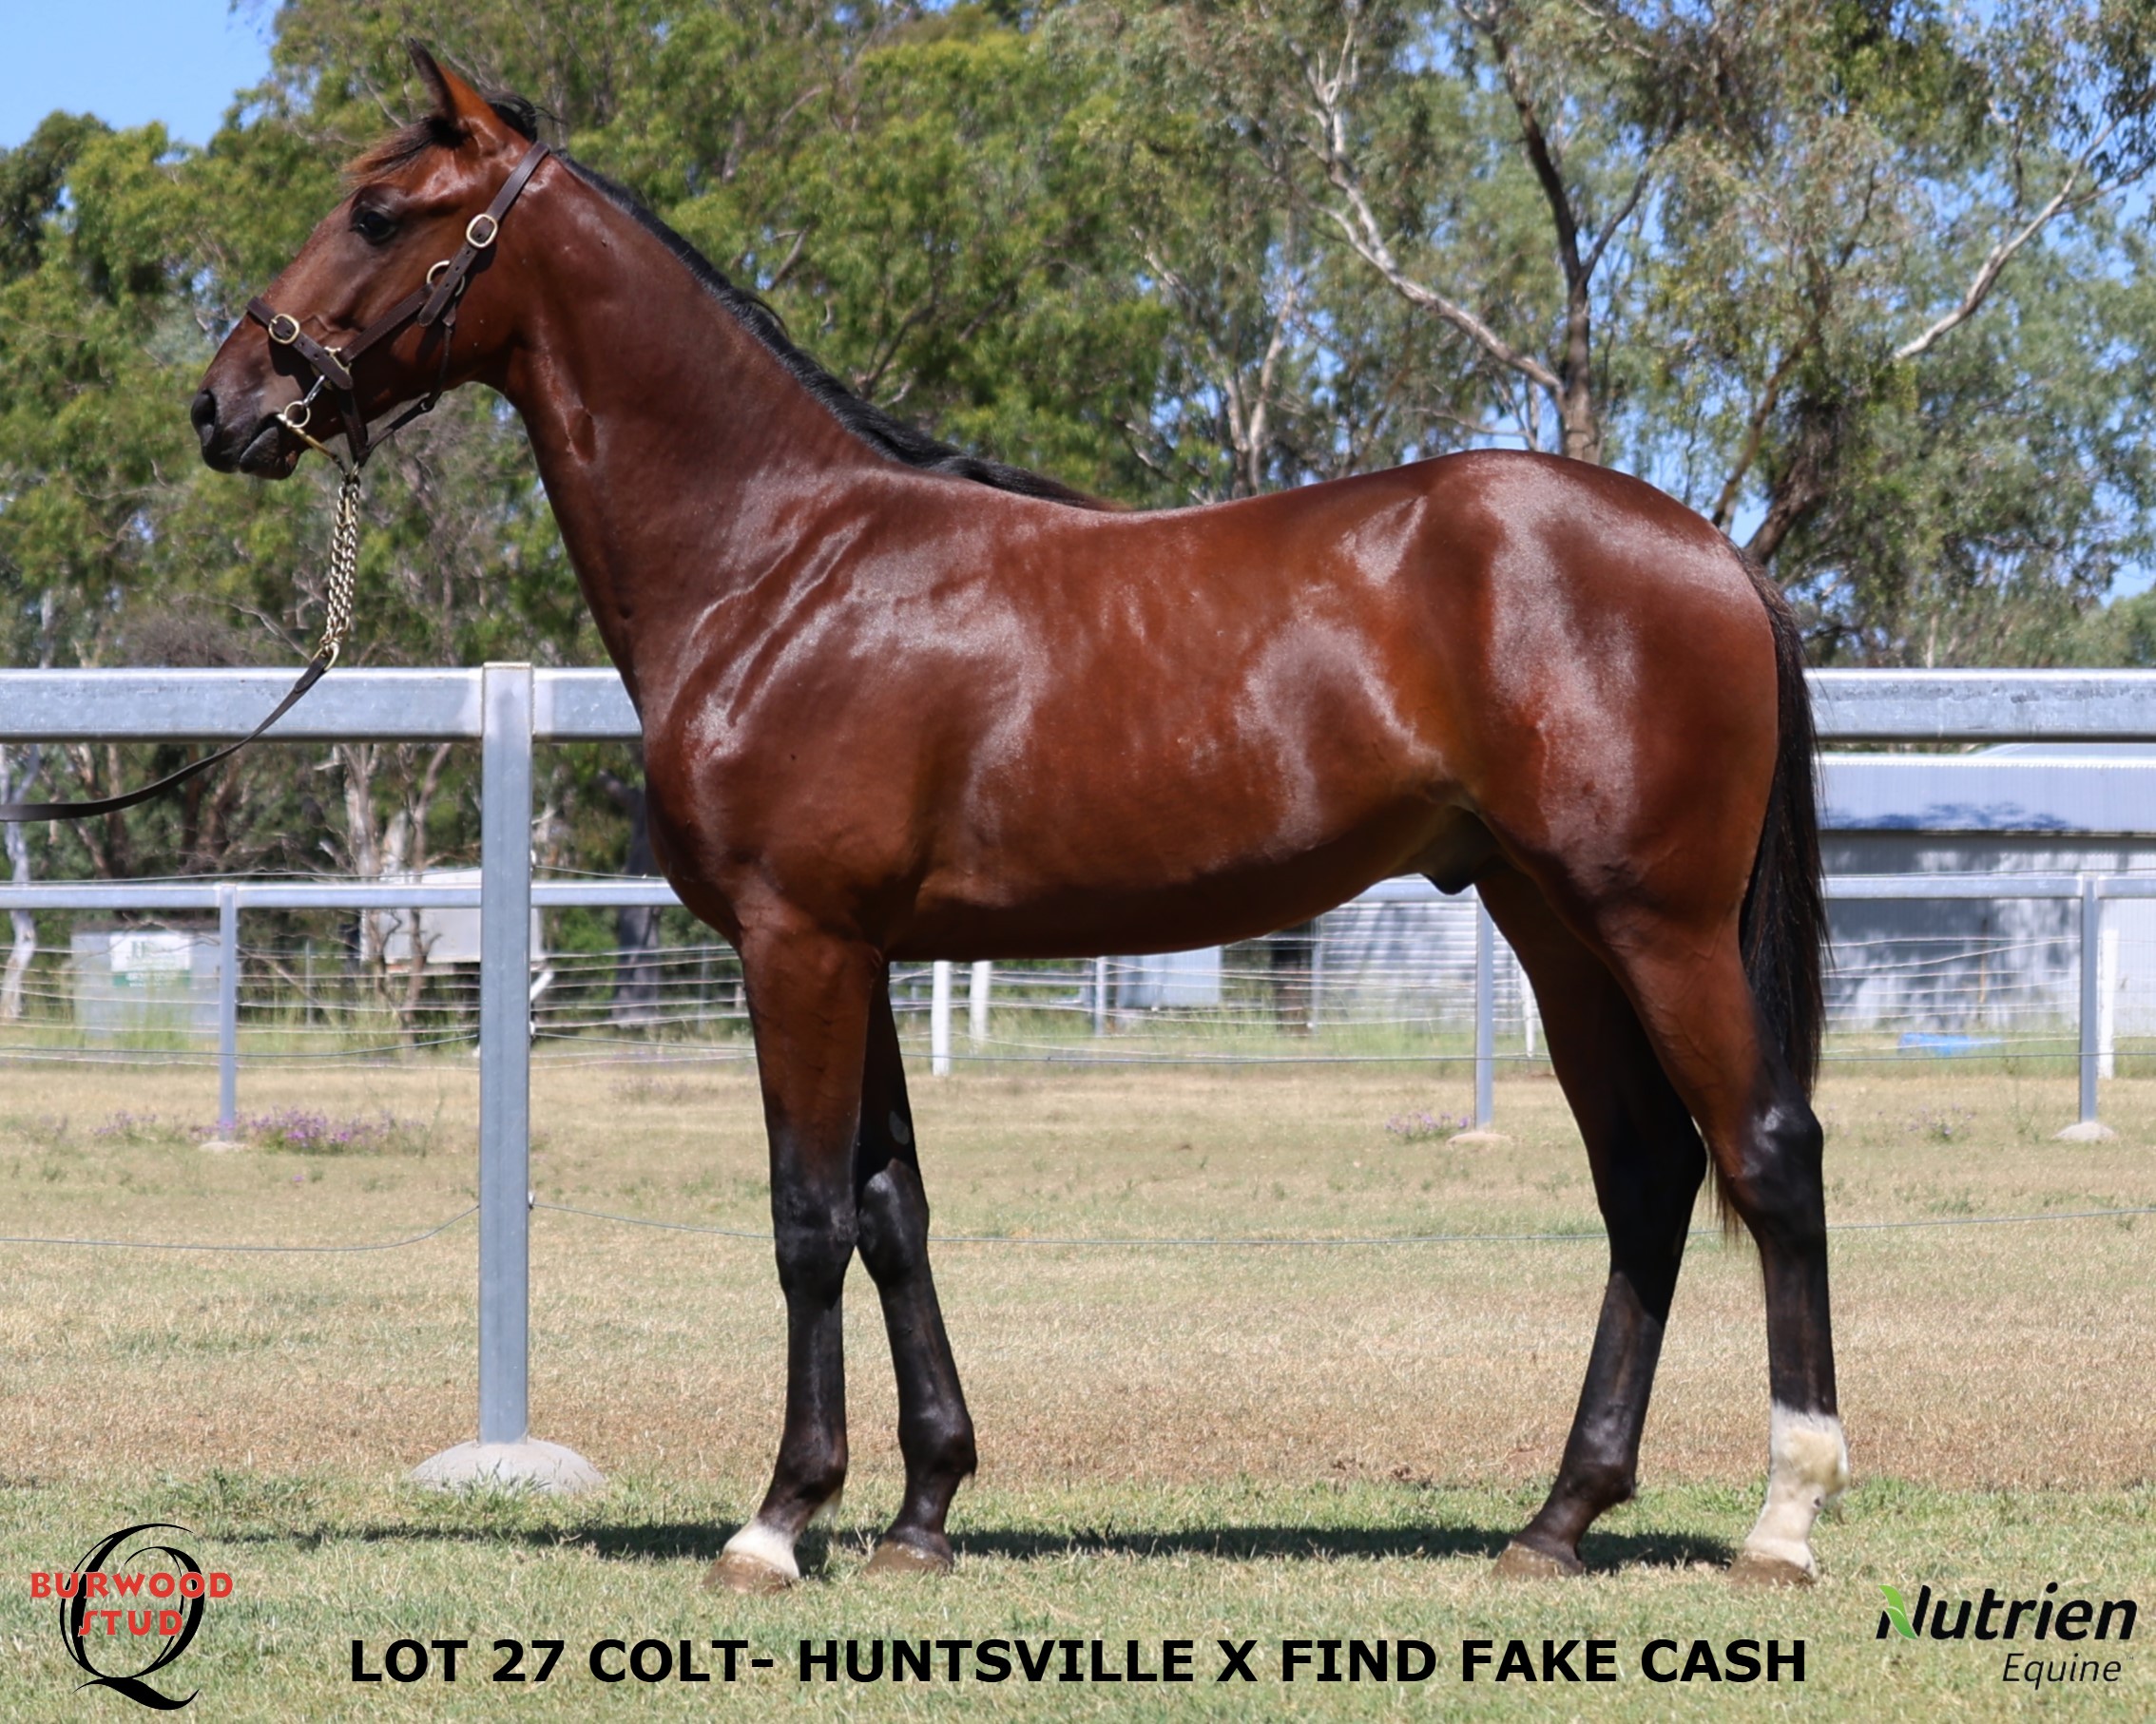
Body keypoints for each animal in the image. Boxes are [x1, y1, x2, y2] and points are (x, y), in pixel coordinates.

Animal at [192, 45, 1843, 1593]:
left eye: (378, 212)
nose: (225, 403)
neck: (777, 559)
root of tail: (1712, 551)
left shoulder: (799, 942)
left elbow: (807, 1218)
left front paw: (779, 1518)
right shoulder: (858, 951)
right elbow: (893, 1210)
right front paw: (921, 1507)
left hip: (1655, 923)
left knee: (1766, 1150)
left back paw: (1785, 1515)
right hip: (1553, 923)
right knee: (1648, 1174)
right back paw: (1559, 1517)